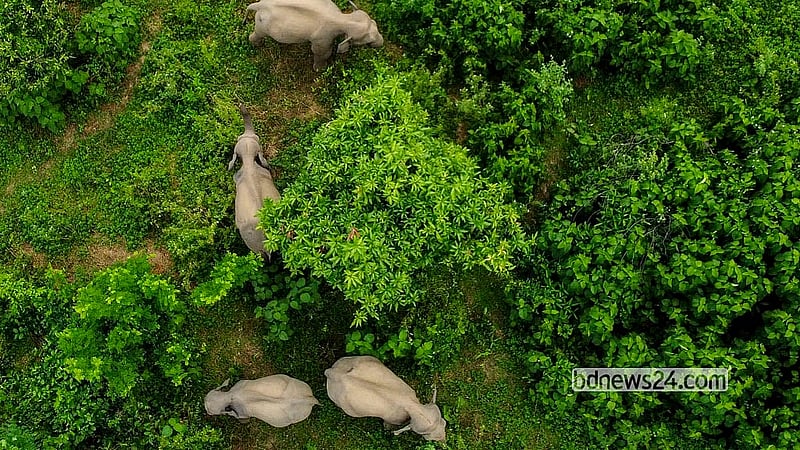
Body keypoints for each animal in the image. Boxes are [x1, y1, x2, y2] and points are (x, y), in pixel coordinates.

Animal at [246, 0, 384, 70]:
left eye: (375, 23)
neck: (342, 18)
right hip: (261, 24)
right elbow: (321, 52)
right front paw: (321, 70)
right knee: (258, 34)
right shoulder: (323, 38)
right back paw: (258, 45)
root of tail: (258, 4)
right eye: (367, 41)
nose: (382, 43)